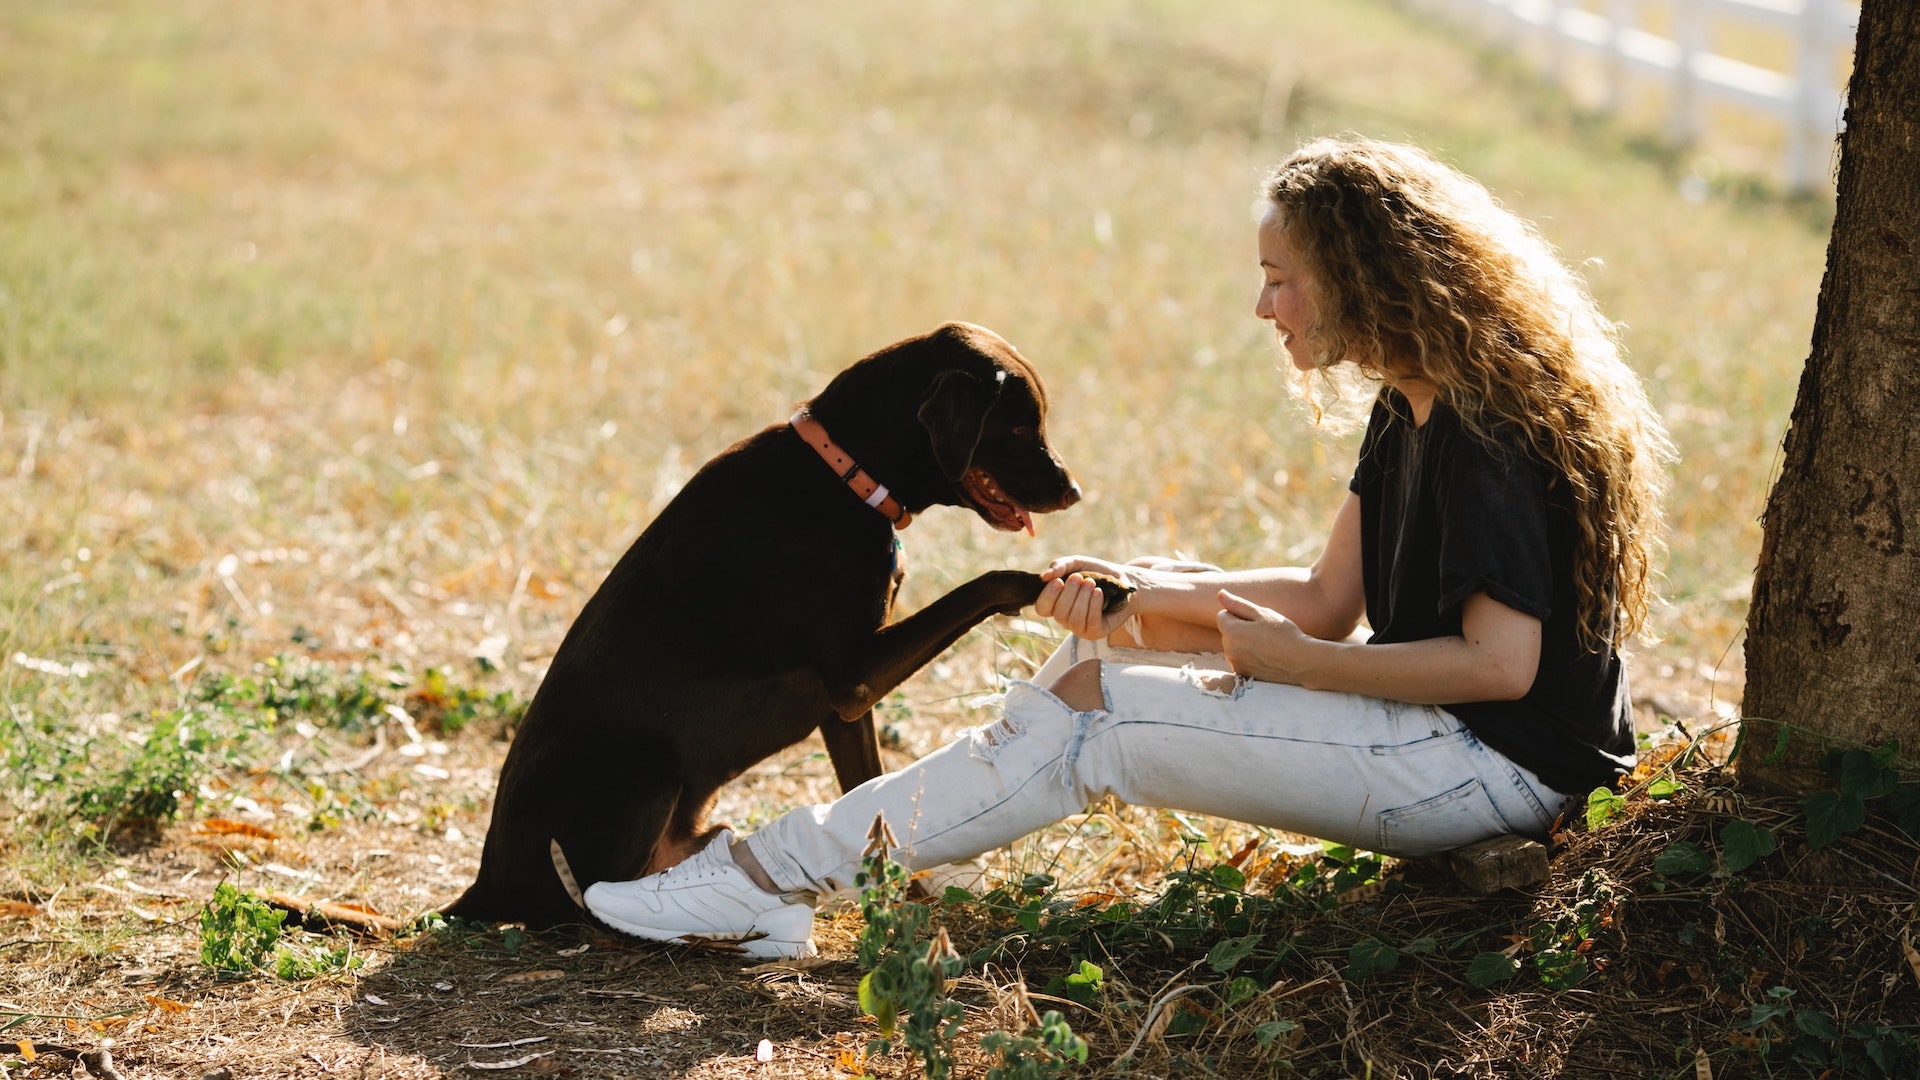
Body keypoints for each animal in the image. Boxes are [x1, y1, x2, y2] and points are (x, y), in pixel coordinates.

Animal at [439, 319, 1090, 926]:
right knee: (585, 900)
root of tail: (483, 883)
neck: (843, 472)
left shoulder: (844, 707)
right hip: (648, 771)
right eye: (1018, 428)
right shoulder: (856, 675)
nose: (1075, 492)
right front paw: (1081, 585)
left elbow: (869, 795)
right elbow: (993, 582)